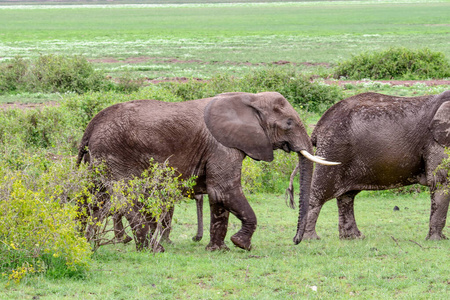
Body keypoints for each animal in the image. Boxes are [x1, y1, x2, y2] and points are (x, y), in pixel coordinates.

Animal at [77, 91, 338, 251]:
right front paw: (241, 244)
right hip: (116, 153)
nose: (295, 240)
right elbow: (224, 190)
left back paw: (85, 242)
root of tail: (91, 125)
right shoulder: (222, 146)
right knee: (128, 196)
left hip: (98, 158)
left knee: (93, 197)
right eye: (289, 124)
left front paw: (218, 249)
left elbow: (218, 198)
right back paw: (153, 249)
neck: (250, 99)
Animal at [288, 90, 450, 243]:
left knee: (347, 196)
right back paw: (310, 238)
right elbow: (440, 182)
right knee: (321, 192)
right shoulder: (435, 142)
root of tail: (318, 126)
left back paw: (353, 238)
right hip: (333, 149)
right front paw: (437, 241)